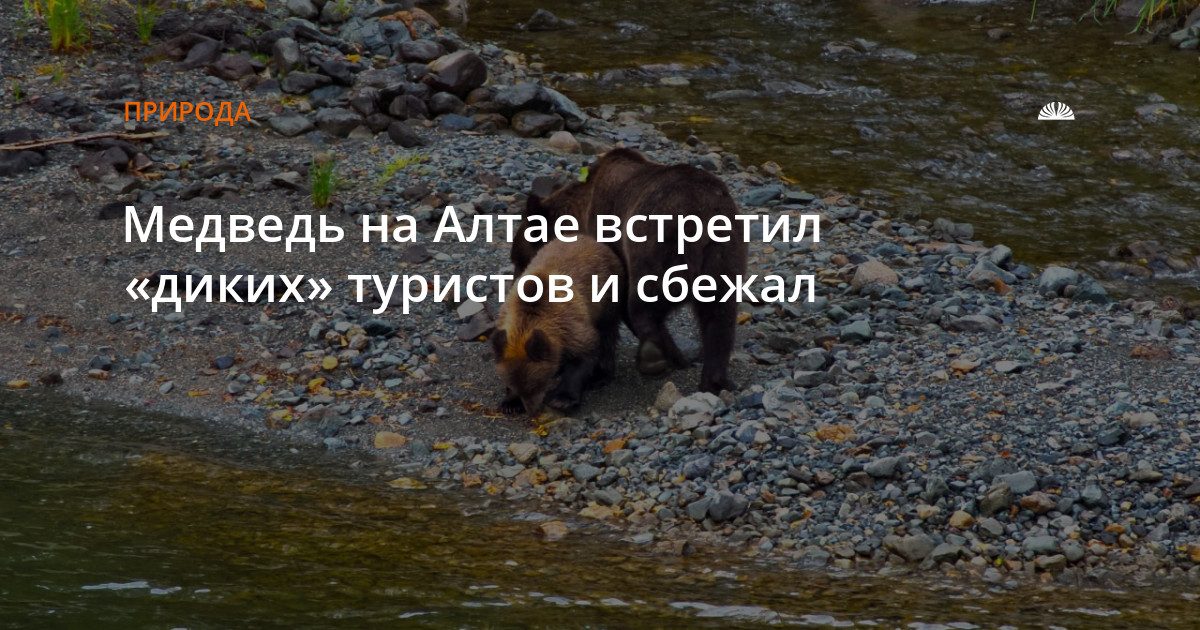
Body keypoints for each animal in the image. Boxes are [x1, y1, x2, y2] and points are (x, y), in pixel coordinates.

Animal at [491, 235, 622, 415]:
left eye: (536, 385)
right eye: (515, 386)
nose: (532, 410)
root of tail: (589, 238)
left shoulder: (572, 326)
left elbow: (583, 356)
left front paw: (562, 399)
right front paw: (510, 403)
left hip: (608, 299)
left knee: (608, 333)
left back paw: (600, 376)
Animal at [514, 148, 748, 394]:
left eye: (518, 259)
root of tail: (701, 212)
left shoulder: (610, 243)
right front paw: (680, 358)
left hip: (657, 241)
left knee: (644, 302)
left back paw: (653, 356)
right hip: (723, 252)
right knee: (719, 314)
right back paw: (713, 379)